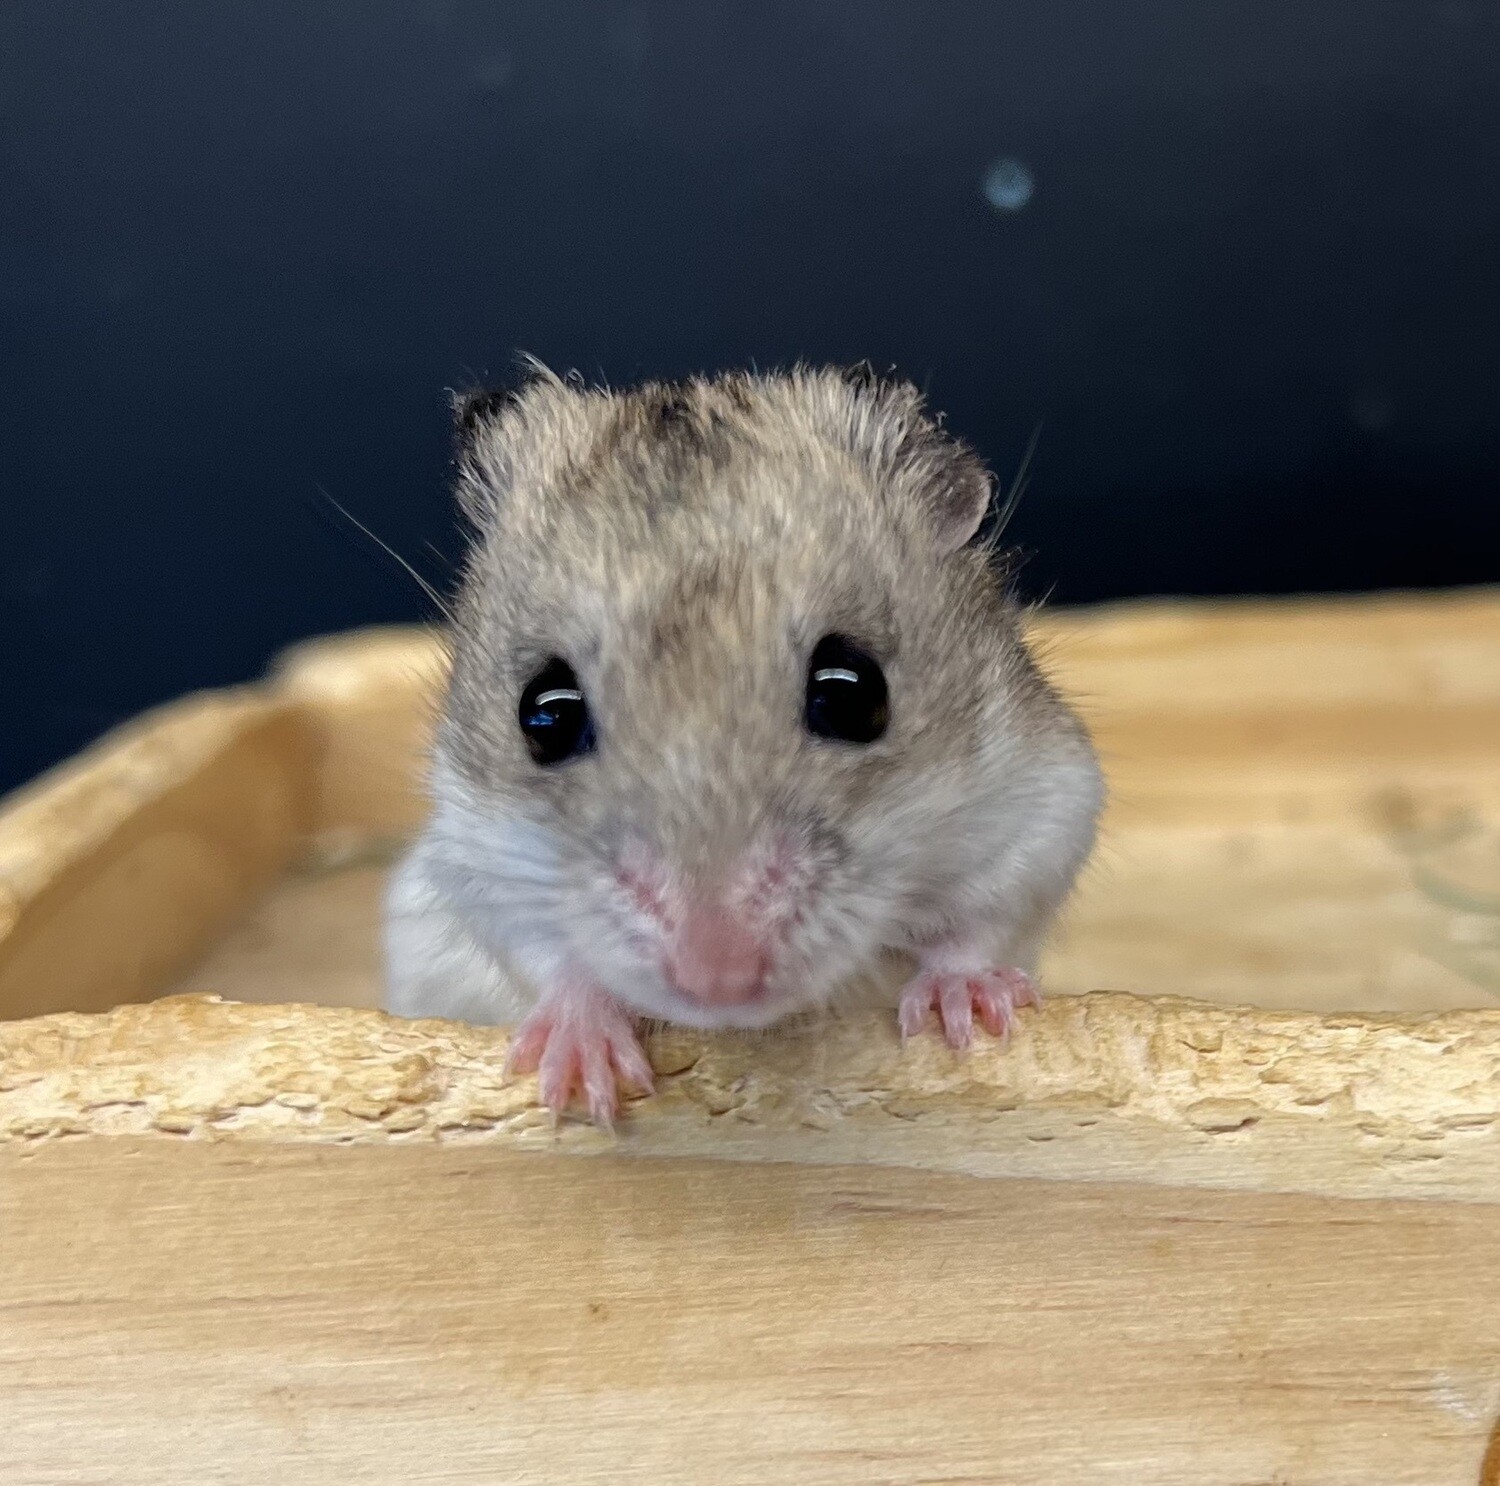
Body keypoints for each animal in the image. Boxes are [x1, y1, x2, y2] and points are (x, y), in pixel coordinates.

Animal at [384, 364, 1104, 1124]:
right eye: (542, 716)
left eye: (854, 694)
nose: (717, 980)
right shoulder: (473, 858)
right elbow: (550, 953)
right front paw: (584, 1078)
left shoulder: (1042, 800)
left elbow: (980, 922)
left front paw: (962, 1016)